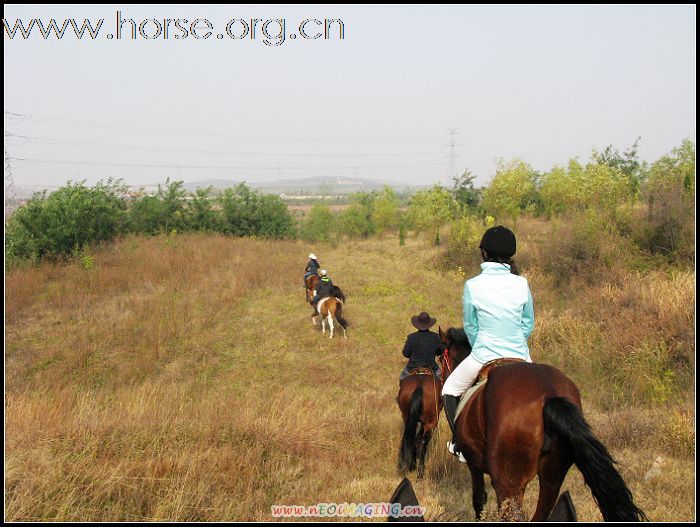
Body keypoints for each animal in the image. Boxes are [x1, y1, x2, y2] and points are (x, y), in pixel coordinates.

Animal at [440, 328, 648, 520]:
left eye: (442, 359)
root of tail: (549, 396)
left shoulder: (473, 464)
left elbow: (479, 500)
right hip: (552, 476)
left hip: (509, 480)